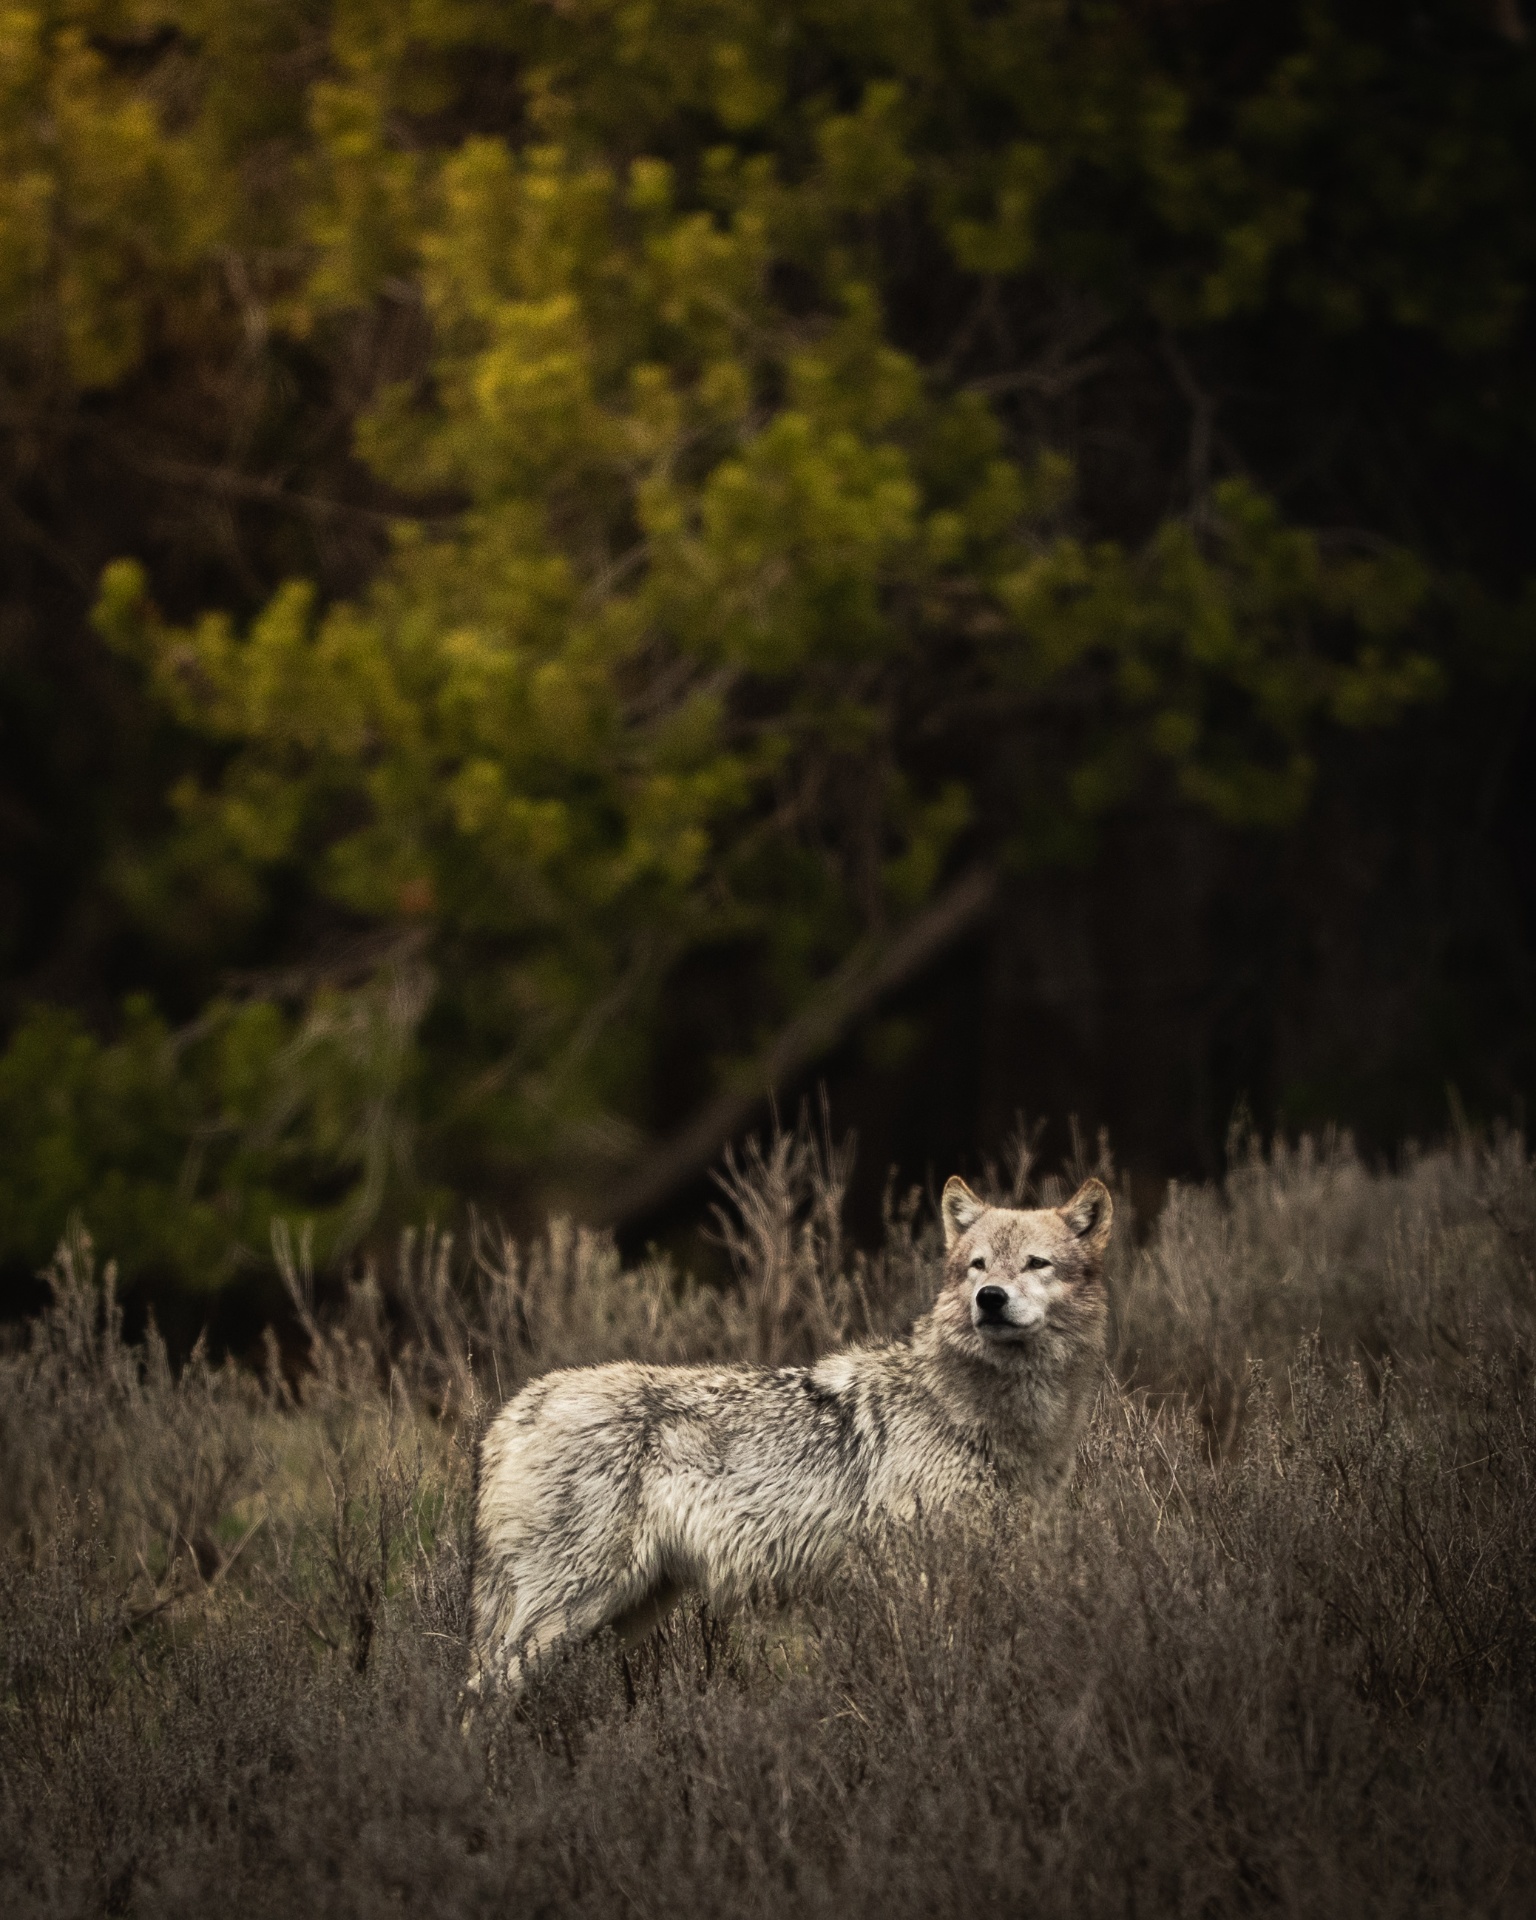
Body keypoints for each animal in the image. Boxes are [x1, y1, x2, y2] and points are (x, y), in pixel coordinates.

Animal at [469, 1172, 1112, 1691]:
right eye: (978, 1265)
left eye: (1036, 1264)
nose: (990, 1298)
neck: (979, 1414)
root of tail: (519, 1406)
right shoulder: (913, 1574)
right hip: (575, 1606)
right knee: (479, 1694)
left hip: (619, 1614)